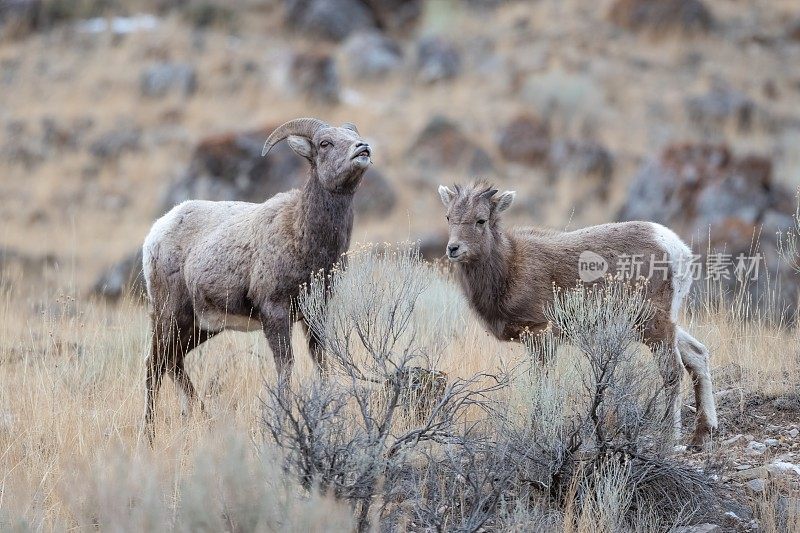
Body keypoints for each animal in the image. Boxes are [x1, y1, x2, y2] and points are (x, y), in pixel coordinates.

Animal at [143, 117, 372, 440]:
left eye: (351, 135)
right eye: (325, 143)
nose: (362, 149)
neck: (301, 235)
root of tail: (158, 230)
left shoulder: (315, 314)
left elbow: (322, 364)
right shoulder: (274, 313)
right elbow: (285, 367)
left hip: (200, 328)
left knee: (174, 363)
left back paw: (206, 420)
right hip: (169, 316)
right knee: (155, 365)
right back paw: (148, 435)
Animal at [438, 183, 720, 444]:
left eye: (481, 220)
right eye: (449, 217)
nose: (453, 249)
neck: (509, 268)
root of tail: (677, 249)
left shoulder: (542, 336)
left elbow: (542, 387)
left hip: (653, 323)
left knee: (673, 372)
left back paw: (671, 441)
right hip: (655, 324)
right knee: (697, 354)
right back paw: (703, 433)